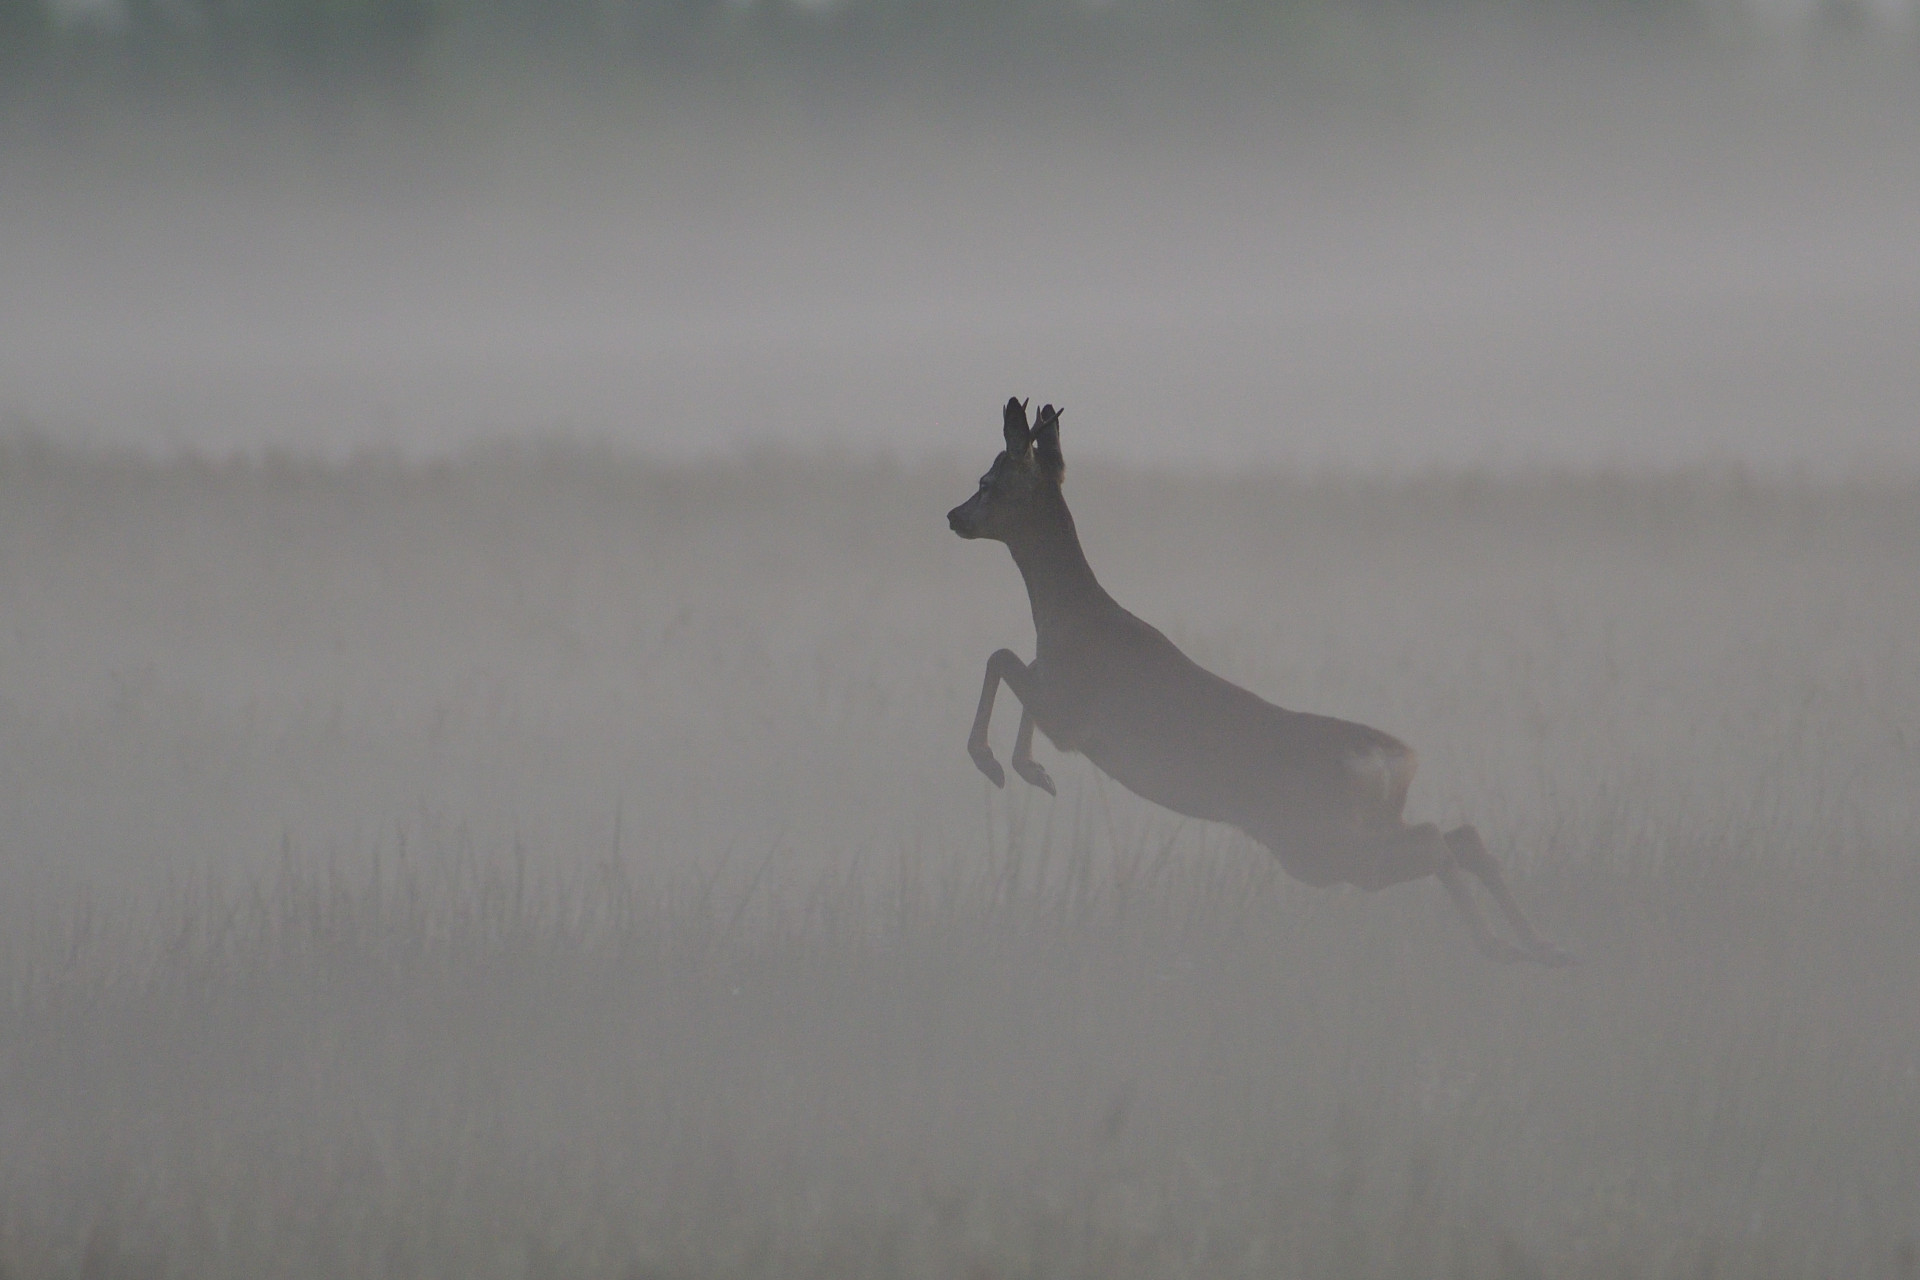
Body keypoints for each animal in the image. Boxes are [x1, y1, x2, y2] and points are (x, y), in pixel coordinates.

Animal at [948, 395, 1574, 967]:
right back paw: (1544, 946)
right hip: (1351, 830)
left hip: (1320, 842)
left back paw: (1502, 945)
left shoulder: (1072, 712)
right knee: (1461, 835)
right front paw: (1029, 770)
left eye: (987, 481)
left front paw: (999, 764)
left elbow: (1000, 657)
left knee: (1434, 843)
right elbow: (1014, 668)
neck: (1070, 617)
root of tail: (1395, 759)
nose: (953, 516)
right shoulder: (1054, 696)